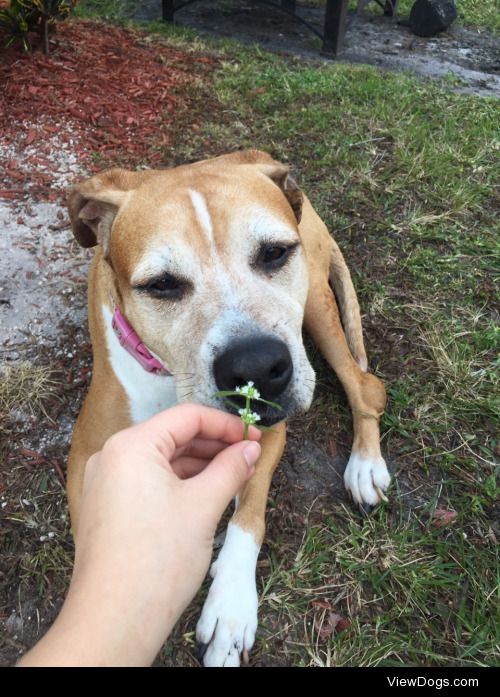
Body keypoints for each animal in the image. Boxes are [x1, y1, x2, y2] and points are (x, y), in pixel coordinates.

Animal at [66, 151, 390, 664]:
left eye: (274, 252)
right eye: (161, 285)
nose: (257, 366)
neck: (171, 378)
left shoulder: (269, 431)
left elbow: (249, 515)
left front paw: (231, 607)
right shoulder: (88, 459)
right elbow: (91, 548)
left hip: (316, 310)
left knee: (364, 385)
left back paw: (365, 464)